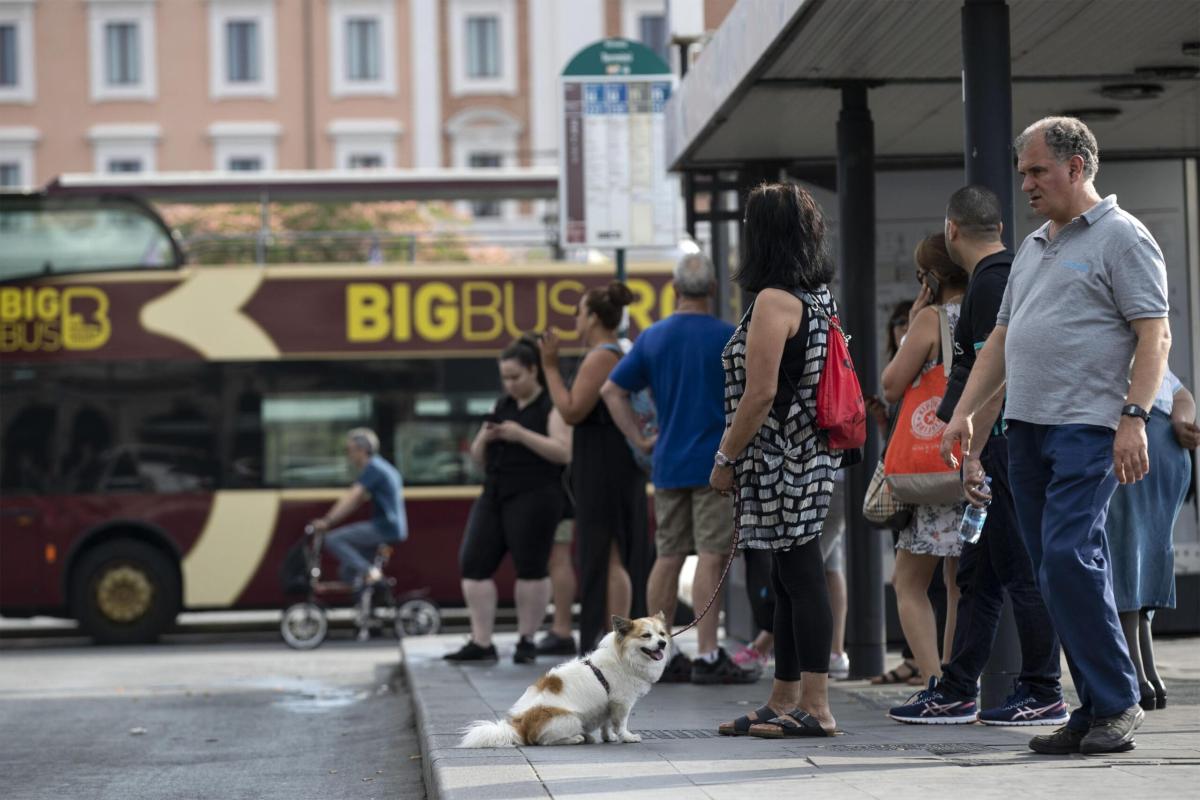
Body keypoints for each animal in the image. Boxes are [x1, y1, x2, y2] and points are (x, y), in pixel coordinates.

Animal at [458, 614, 672, 753]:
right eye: (646, 636)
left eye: (662, 634)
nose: (663, 644)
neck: (624, 658)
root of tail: (519, 727)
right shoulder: (622, 703)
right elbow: (621, 723)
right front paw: (627, 737)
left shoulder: (609, 703)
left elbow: (606, 723)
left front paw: (608, 737)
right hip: (571, 719)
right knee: (544, 741)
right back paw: (578, 737)